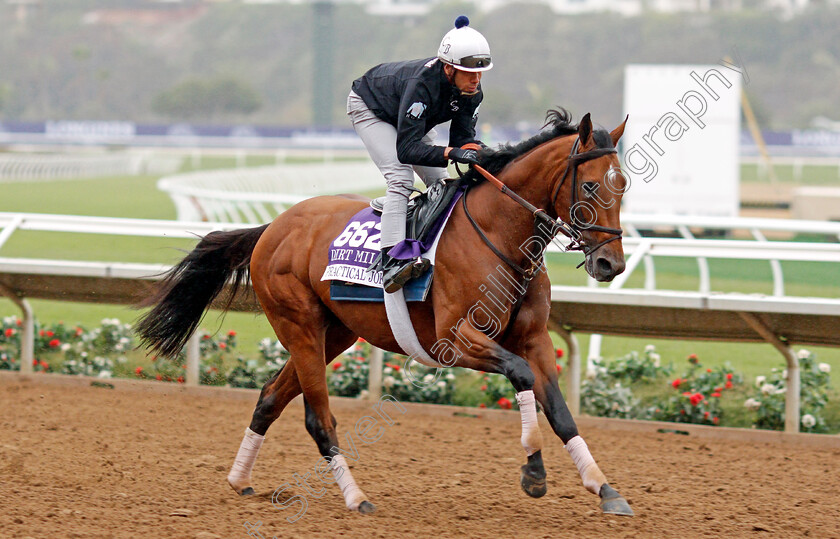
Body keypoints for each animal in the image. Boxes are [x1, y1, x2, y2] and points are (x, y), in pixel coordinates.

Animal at [138, 109, 632, 520]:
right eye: (590, 186)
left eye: (623, 185)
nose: (611, 264)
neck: (499, 235)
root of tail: (274, 227)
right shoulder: (455, 339)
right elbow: (522, 375)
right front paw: (533, 472)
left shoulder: (534, 339)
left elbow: (561, 411)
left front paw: (605, 488)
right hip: (298, 325)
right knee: (318, 418)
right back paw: (355, 497)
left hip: (334, 333)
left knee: (270, 397)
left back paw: (240, 478)